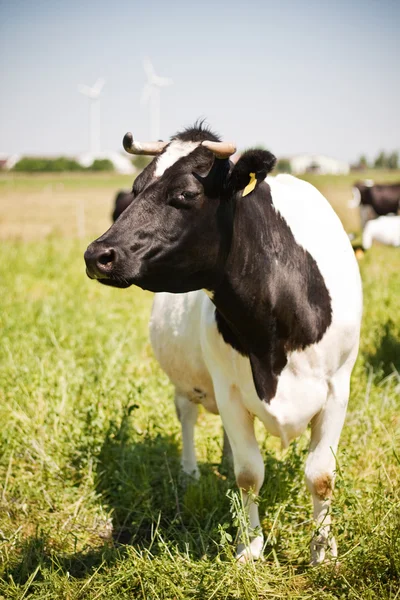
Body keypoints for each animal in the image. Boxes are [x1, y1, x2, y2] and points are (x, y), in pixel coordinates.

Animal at [84, 122, 362, 564]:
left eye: (185, 194)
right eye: (136, 187)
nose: (97, 254)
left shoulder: (339, 387)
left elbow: (320, 475)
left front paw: (323, 550)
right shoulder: (229, 390)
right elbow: (248, 474)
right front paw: (249, 546)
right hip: (188, 381)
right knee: (186, 413)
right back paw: (190, 473)